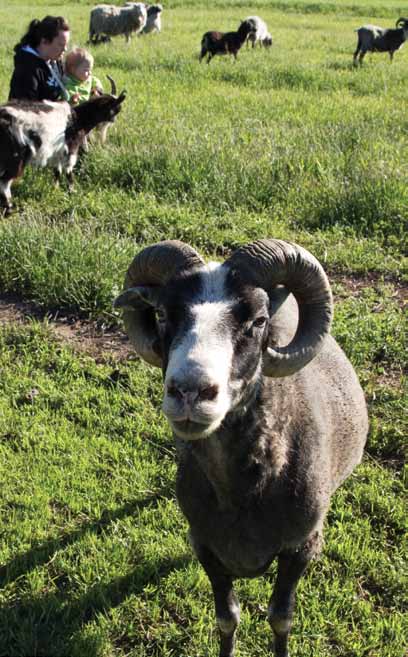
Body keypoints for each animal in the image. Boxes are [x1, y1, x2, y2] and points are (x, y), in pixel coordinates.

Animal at [0, 78, 126, 214]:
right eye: (116, 108)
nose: (113, 120)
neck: (78, 119)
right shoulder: (71, 149)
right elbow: (69, 171)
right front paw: (72, 191)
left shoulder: (58, 152)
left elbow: (57, 171)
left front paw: (54, 190)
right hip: (16, 157)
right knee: (5, 182)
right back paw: (9, 209)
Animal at [113, 238, 368, 656]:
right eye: (163, 314)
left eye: (259, 321)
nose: (190, 391)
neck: (243, 492)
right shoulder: (205, 545)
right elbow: (226, 619)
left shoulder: (302, 547)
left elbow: (281, 619)